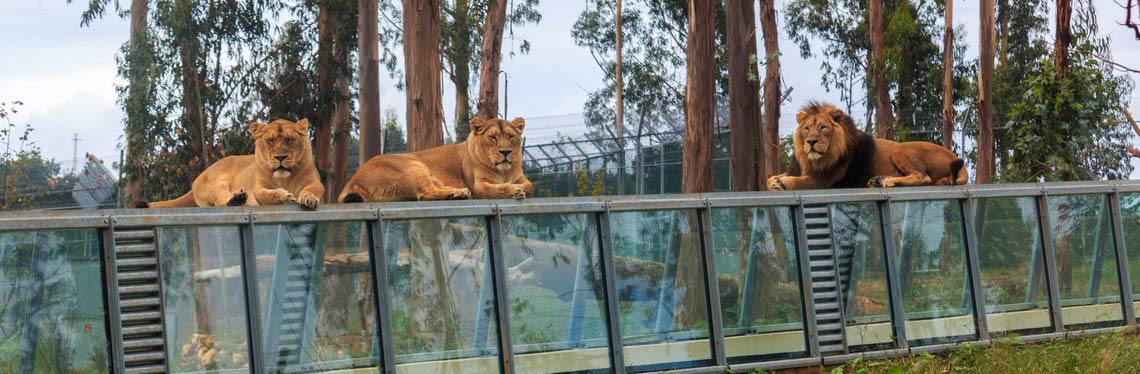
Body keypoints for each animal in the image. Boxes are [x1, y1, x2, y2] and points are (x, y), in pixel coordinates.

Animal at [139, 119, 326, 207]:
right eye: (271, 141)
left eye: (289, 139)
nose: (280, 157)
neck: (285, 178)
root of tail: (196, 179)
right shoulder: (258, 187)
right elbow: (265, 194)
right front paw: (284, 196)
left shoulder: (314, 181)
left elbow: (314, 189)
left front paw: (308, 198)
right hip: (219, 181)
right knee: (220, 201)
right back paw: (236, 199)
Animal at [337, 118, 533, 202]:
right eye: (493, 137)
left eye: (511, 136)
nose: (506, 151)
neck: (504, 171)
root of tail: (352, 180)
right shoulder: (478, 186)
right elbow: (495, 189)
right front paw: (513, 191)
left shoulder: (521, 178)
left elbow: (530, 186)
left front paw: (518, 188)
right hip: (413, 166)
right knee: (425, 193)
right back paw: (459, 193)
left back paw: (458, 191)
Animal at [770, 102, 966, 190]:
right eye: (806, 129)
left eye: (823, 128)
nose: (811, 141)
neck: (812, 160)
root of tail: (953, 155)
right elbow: (770, 177)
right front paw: (775, 181)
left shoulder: (825, 179)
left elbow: (798, 181)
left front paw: (782, 183)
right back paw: (878, 180)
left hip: (899, 149)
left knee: (922, 177)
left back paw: (887, 181)